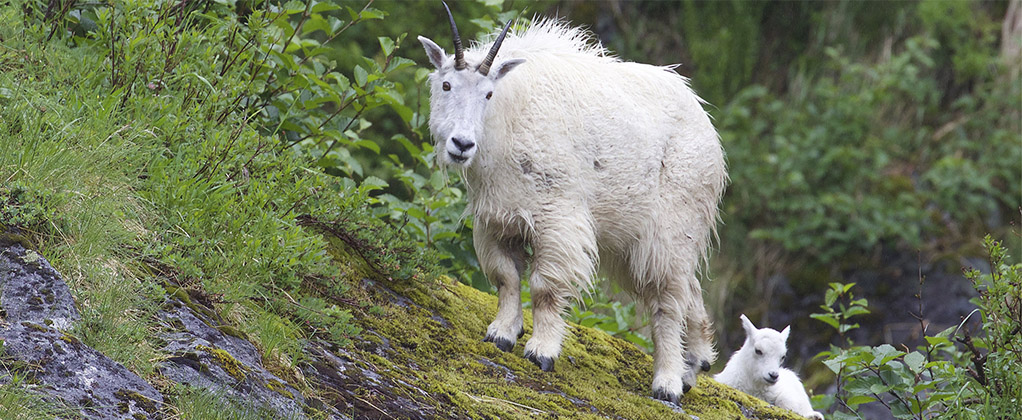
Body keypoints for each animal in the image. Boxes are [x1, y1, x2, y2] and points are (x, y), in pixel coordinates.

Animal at [416, 4, 727, 404]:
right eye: (446, 85)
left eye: (487, 94)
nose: (462, 144)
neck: (508, 120)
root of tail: (708, 128)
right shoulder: (497, 218)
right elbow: (506, 277)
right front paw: (501, 333)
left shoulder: (557, 217)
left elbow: (545, 288)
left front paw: (541, 351)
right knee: (690, 290)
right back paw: (695, 365)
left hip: (672, 228)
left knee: (668, 301)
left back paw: (668, 383)